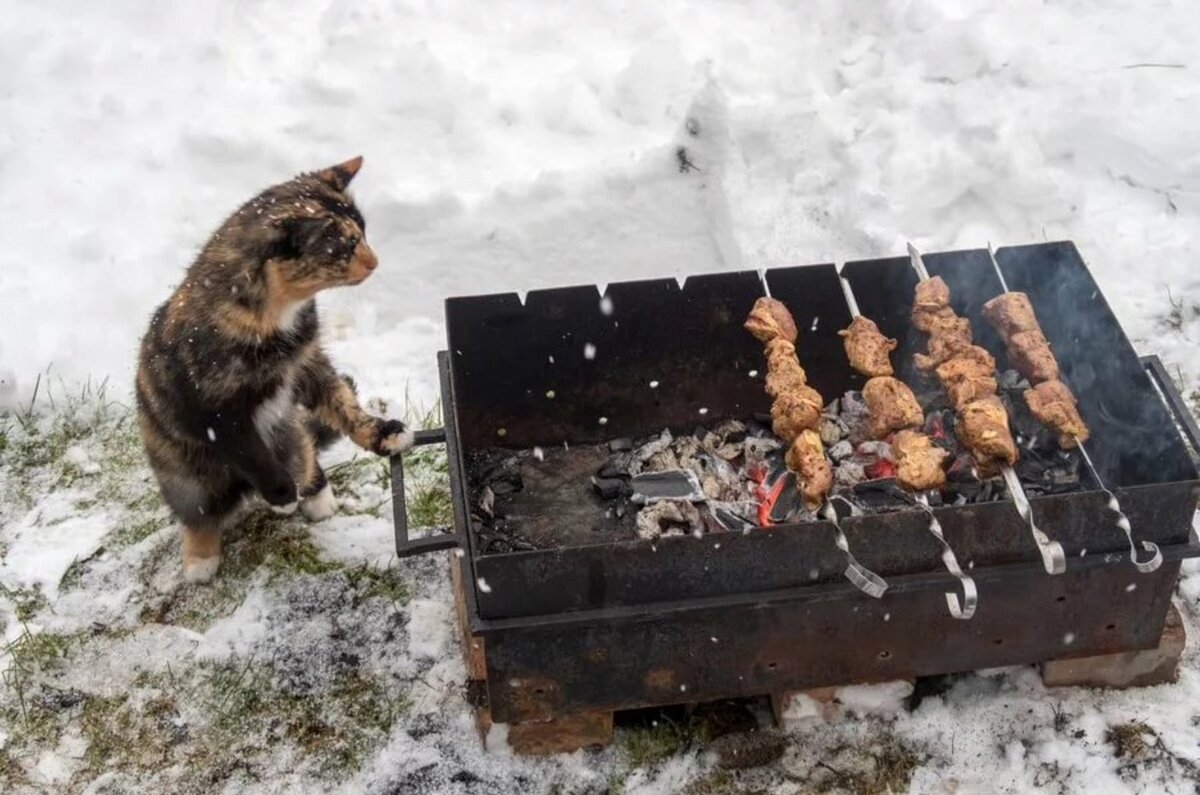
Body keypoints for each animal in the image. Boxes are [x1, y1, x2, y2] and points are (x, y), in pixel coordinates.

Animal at [136, 157, 412, 586]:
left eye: (363, 233)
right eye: (345, 246)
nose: (375, 260)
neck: (274, 317)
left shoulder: (307, 363)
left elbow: (340, 401)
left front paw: (381, 433)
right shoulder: (216, 410)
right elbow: (251, 453)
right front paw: (281, 495)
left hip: (289, 431)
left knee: (306, 448)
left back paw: (316, 495)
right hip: (183, 471)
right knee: (198, 511)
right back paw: (201, 558)